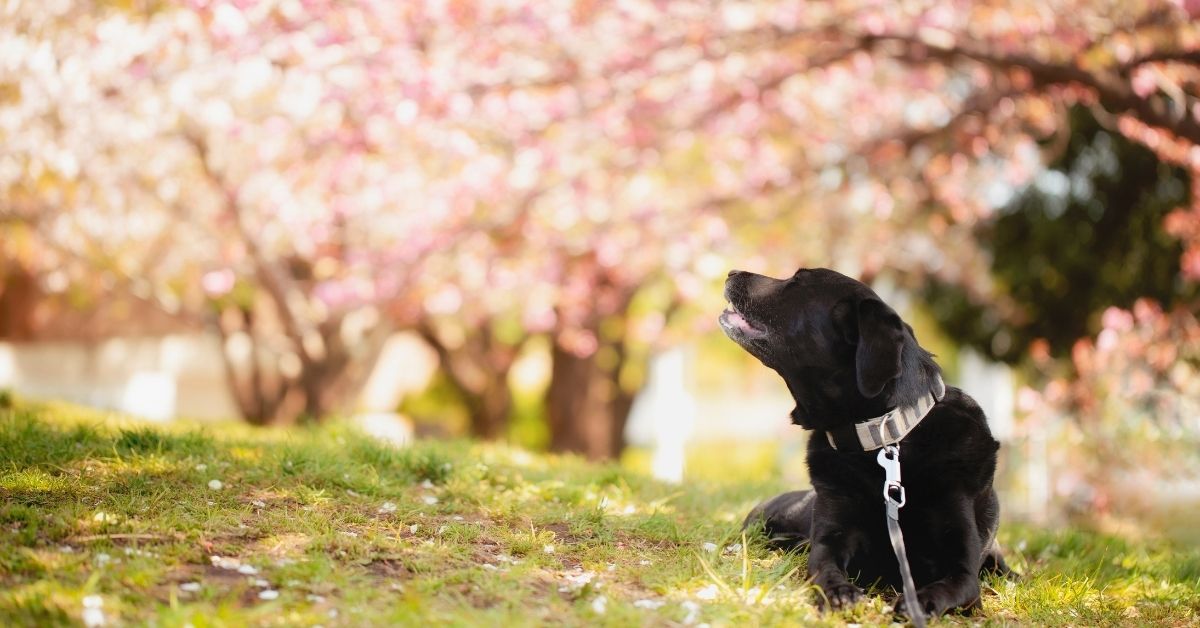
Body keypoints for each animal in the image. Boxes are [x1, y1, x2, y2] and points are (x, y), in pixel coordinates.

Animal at [720, 265, 1012, 619]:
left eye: (797, 281)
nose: (731, 272)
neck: (883, 436)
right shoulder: (831, 537)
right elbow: (824, 566)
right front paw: (839, 593)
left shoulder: (964, 570)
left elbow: (952, 585)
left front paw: (920, 603)